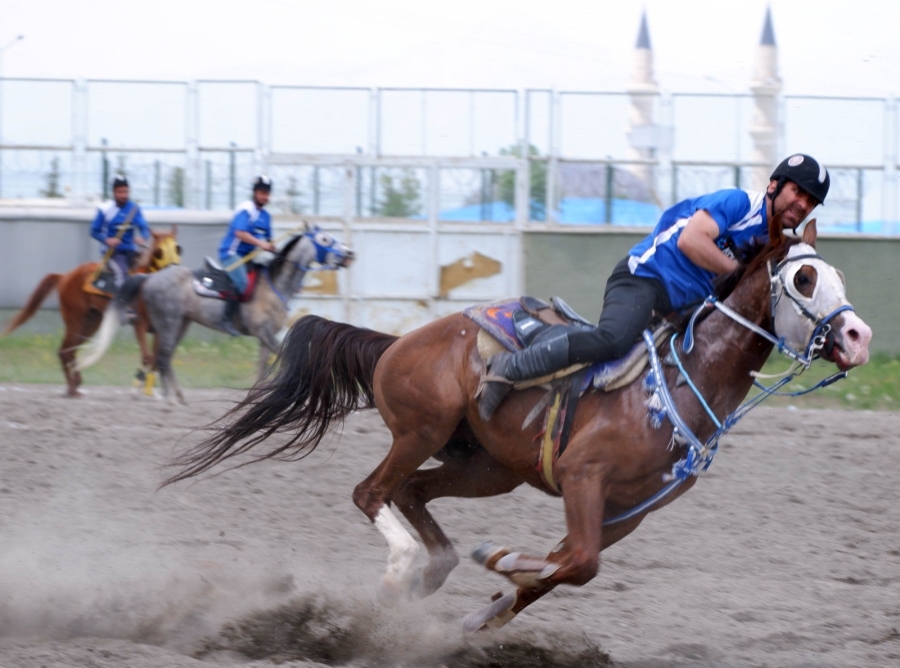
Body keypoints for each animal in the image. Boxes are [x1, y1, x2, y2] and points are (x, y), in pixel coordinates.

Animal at [1, 230, 181, 396]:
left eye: (177, 248)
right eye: (159, 251)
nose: (174, 268)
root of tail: (65, 276)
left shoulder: (159, 330)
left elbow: (158, 360)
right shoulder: (139, 325)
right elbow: (147, 356)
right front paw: (140, 383)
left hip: (91, 322)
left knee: (70, 350)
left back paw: (75, 384)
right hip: (74, 320)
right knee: (65, 350)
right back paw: (73, 388)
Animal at [77, 226, 354, 402]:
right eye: (325, 239)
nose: (350, 253)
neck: (274, 285)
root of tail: (150, 277)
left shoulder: (264, 337)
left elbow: (263, 367)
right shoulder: (263, 332)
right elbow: (285, 360)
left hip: (181, 324)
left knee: (165, 357)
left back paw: (177, 396)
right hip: (169, 323)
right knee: (163, 357)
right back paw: (171, 400)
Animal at [165, 219, 868, 632]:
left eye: (837, 273)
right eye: (805, 277)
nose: (857, 337)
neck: (675, 384)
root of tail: (397, 341)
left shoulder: (629, 512)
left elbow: (564, 569)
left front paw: (483, 614)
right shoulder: (585, 477)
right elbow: (575, 563)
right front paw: (497, 560)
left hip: (487, 467)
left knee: (411, 492)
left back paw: (432, 572)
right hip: (421, 431)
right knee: (372, 492)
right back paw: (401, 573)